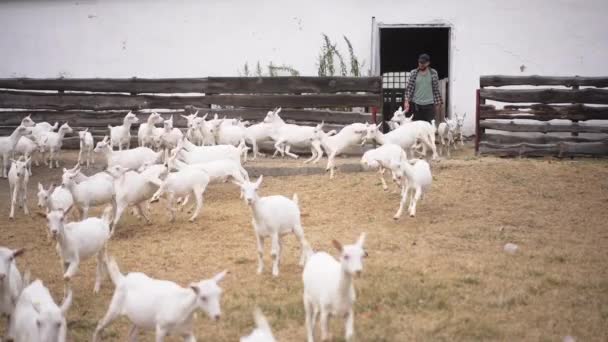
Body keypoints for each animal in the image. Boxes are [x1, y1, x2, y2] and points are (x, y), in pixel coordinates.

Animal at [92, 256, 228, 342]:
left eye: (220, 294)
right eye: (203, 297)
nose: (217, 316)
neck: (182, 306)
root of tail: (122, 279)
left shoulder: (187, 332)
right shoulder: (161, 330)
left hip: (138, 319)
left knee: (131, 335)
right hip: (114, 309)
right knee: (100, 324)